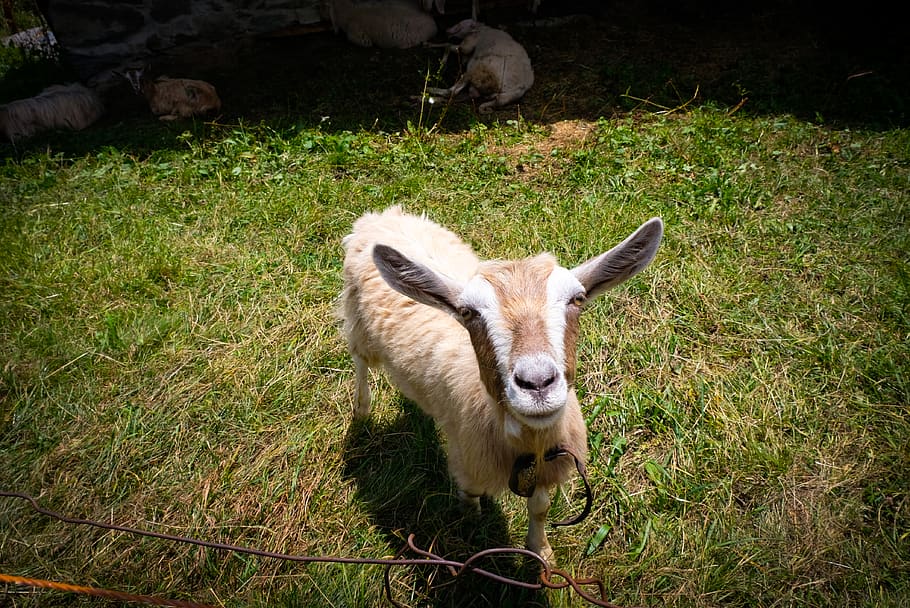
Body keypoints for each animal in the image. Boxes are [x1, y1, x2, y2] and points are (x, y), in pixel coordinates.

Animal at [340, 206, 663, 564]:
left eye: (577, 299)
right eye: (467, 312)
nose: (537, 383)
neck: (526, 440)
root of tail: (380, 216)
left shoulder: (546, 467)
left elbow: (540, 507)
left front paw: (541, 552)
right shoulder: (468, 461)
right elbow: (471, 498)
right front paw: (472, 531)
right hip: (358, 325)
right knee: (360, 362)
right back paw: (361, 411)